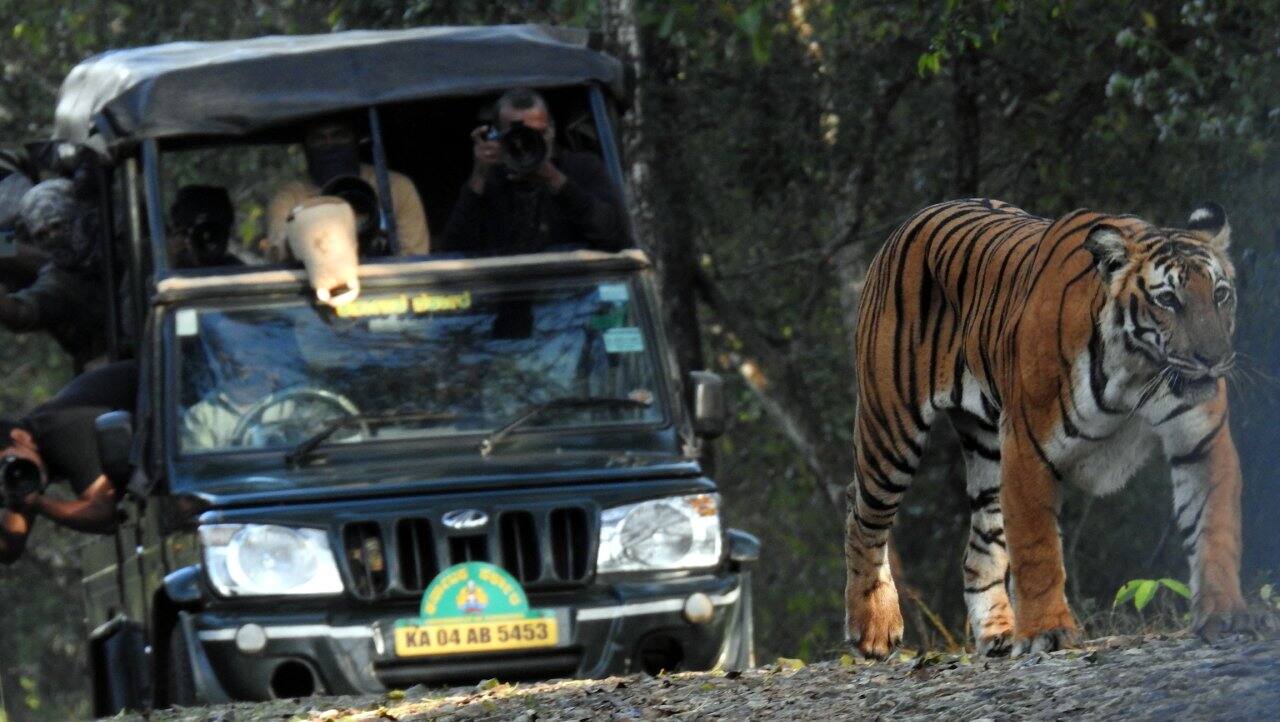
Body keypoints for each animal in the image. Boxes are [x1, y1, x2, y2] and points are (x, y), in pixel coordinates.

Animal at [844, 198, 1258, 658]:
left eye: (1220, 295)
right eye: (1167, 300)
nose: (1213, 358)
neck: (1137, 369)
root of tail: (914, 218)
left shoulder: (1201, 443)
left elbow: (1214, 530)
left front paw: (1226, 616)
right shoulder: (1028, 449)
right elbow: (1037, 548)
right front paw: (1048, 631)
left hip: (988, 452)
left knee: (979, 550)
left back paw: (1000, 634)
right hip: (891, 428)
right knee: (862, 517)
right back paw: (874, 628)